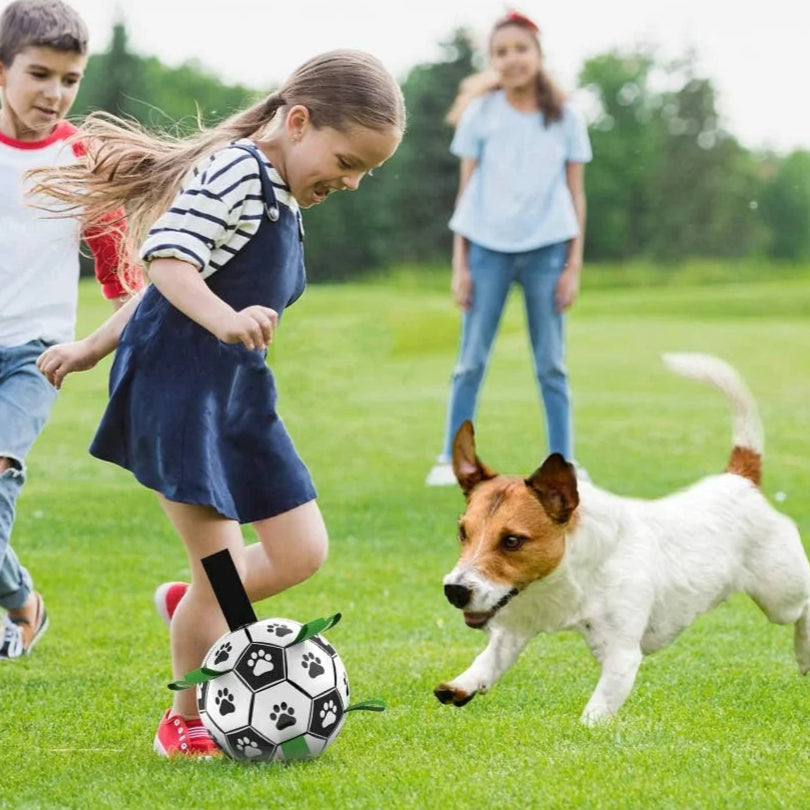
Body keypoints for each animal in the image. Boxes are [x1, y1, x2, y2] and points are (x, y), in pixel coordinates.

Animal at [432, 356, 808, 724]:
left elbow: (597, 710)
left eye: (512, 540)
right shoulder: (514, 627)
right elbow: (489, 660)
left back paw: (804, 653)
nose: (454, 590)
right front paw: (463, 684)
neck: (564, 578)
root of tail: (739, 480)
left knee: (803, 607)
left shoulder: (621, 655)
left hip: (781, 596)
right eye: (463, 532)